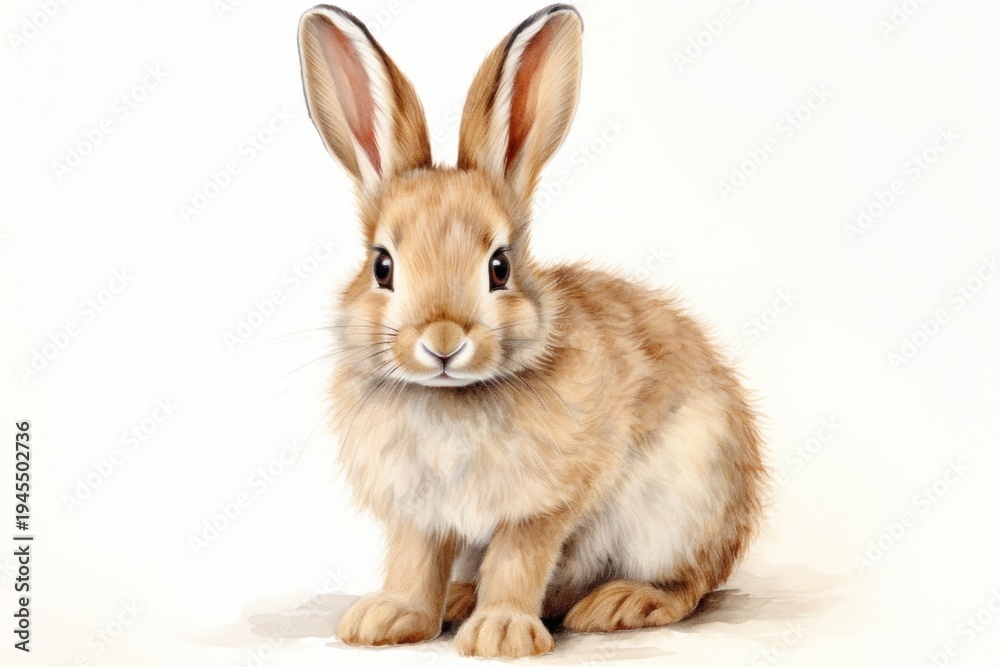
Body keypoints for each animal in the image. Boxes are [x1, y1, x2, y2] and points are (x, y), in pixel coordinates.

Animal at [297, 3, 766, 659]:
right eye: (382, 267)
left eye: (500, 267)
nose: (443, 341)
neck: (453, 398)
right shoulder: (419, 514)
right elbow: (415, 562)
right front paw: (388, 620)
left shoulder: (542, 505)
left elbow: (518, 560)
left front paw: (500, 635)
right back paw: (459, 600)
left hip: (684, 505)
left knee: (687, 582)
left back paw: (621, 603)